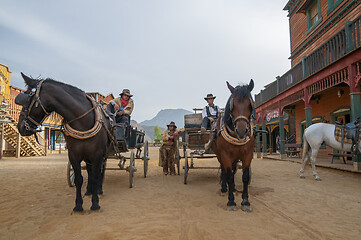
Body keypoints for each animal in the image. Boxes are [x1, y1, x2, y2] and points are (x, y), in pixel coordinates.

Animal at [15, 72, 111, 211]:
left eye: (27, 98)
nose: (20, 126)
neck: (82, 122)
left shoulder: (97, 155)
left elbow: (95, 177)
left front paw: (95, 203)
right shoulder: (73, 155)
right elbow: (79, 179)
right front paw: (78, 205)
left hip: (103, 155)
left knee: (99, 172)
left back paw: (98, 190)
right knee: (89, 171)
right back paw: (88, 191)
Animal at [212, 79, 255, 211]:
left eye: (250, 104)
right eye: (232, 105)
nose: (241, 131)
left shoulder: (247, 155)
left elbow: (245, 177)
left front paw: (245, 201)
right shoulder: (225, 155)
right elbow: (229, 176)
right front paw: (231, 201)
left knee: (234, 168)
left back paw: (234, 188)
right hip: (220, 155)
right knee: (225, 170)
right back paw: (224, 188)